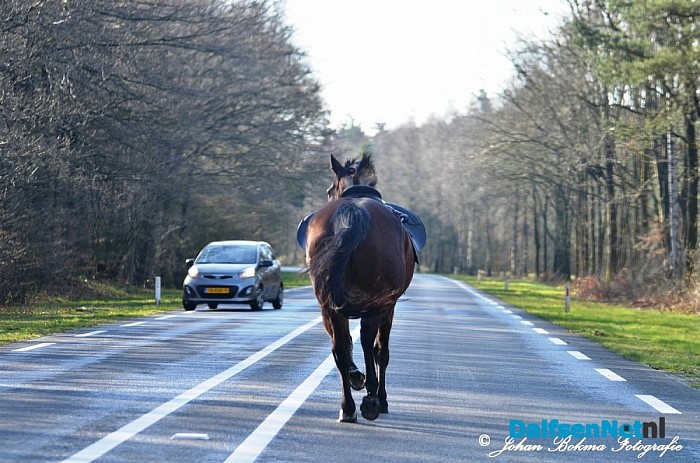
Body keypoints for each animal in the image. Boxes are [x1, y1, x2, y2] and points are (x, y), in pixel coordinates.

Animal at [304, 151, 416, 422]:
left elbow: (344, 344)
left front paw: (357, 379)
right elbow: (380, 351)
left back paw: (348, 407)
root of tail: (352, 212)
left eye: (328, 190)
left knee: (341, 350)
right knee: (369, 343)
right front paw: (379, 397)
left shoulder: (331, 306)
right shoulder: (389, 306)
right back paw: (371, 400)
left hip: (329, 304)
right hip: (377, 303)